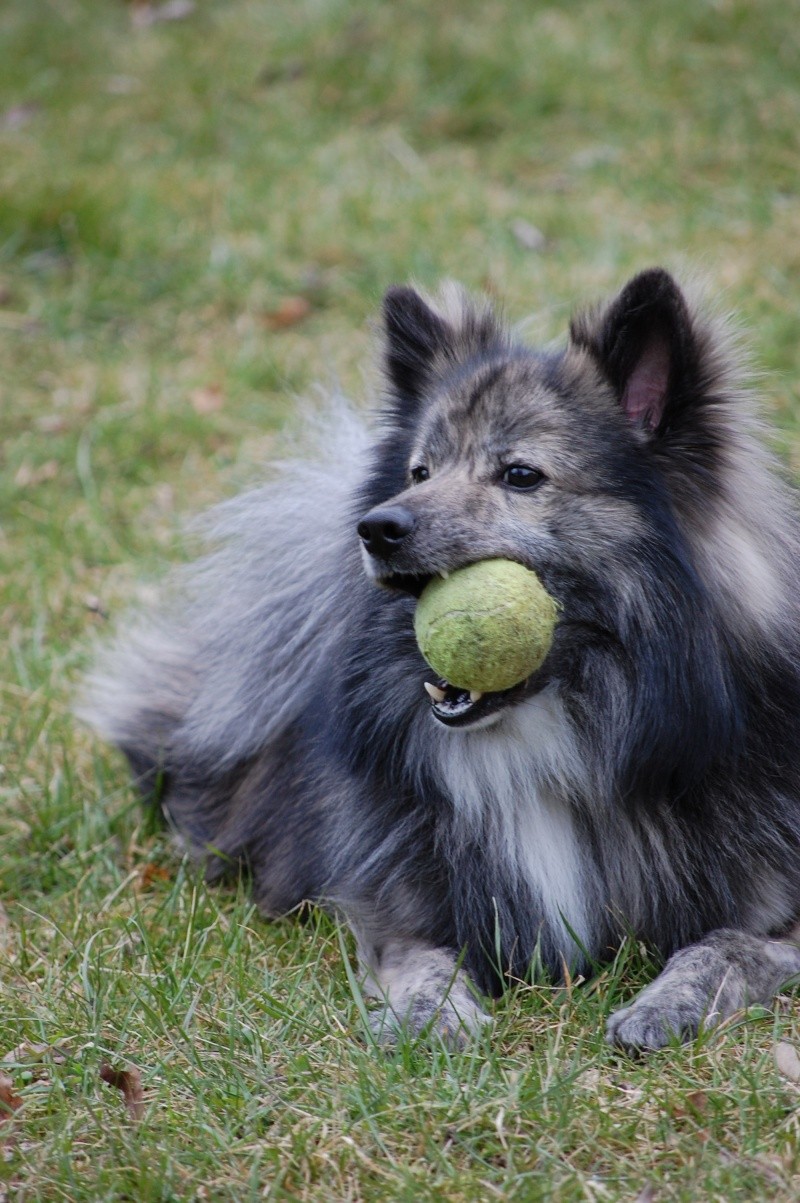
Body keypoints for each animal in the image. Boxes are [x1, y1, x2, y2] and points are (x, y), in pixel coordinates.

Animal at [81, 268, 800, 1049]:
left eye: (520, 475)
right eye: (420, 471)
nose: (376, 527)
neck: (556, 743)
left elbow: (725, 944)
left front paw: (667, 1003)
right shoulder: (393, 908)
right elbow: (424, 958)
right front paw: (435, 1016)